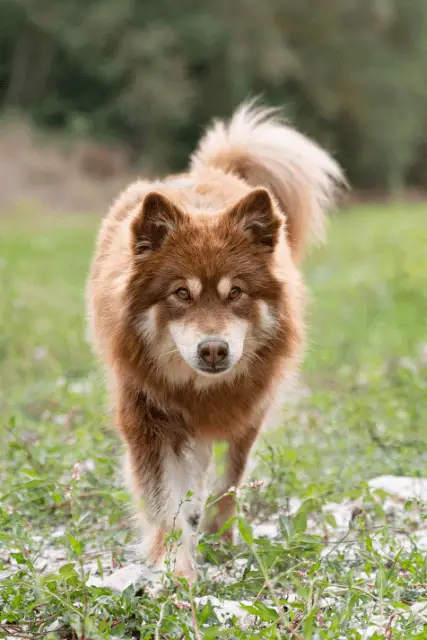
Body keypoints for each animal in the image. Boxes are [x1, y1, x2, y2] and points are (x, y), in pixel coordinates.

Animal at [86, 102, 344, 584]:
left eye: (235, 292)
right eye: (181, 294)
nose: (213, 349)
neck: (200, 389)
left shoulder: (248, 413)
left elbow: (230, 481)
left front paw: (219, 537)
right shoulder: (147, 419)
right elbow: (163, 502)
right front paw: (176, 568)